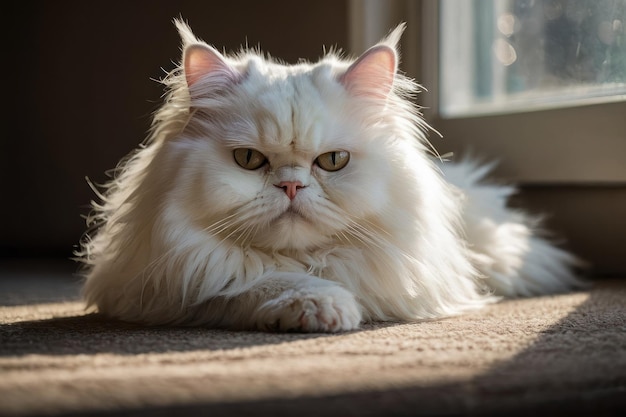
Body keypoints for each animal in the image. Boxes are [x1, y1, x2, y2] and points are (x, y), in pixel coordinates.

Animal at [77, 20, 580, 332]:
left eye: (333, 161)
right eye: (249, 159)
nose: (291, 186)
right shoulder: (167, 285)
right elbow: (254, 283)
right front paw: (317, 307)